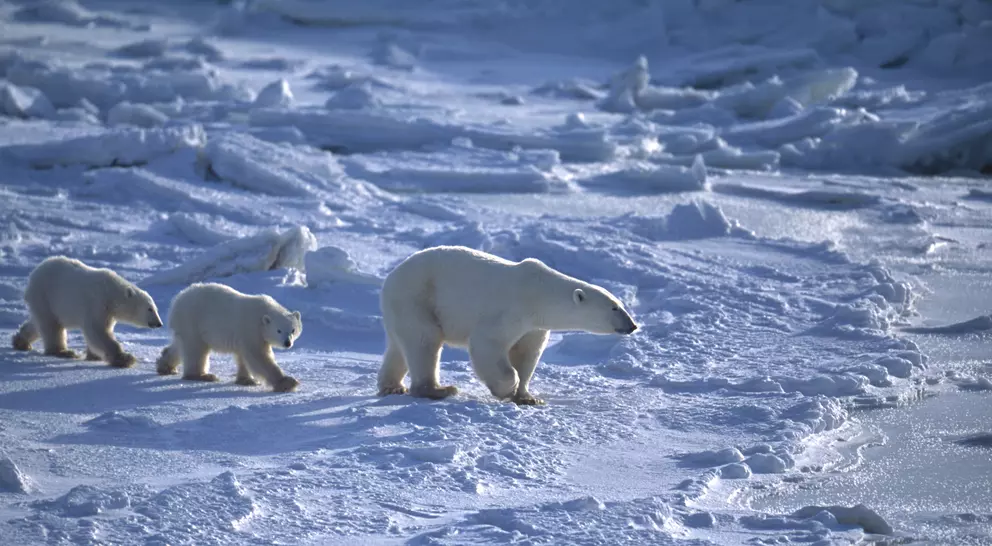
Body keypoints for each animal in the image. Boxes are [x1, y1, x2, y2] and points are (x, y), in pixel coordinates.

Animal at [11, 255, 163, 367]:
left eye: (156, 308)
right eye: (149, 309)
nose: (159, 323)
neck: (111, 293)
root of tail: (33, 274)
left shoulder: (108, 313)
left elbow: (101, 331)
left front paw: (93, 356)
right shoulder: (98, 303)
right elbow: (97, 331)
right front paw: (125, 358)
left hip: (44, 301)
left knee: (38, 323)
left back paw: (20, 341)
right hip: (45, 295)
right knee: (51, 326)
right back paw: (63, 351)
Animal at [155, 282, 302, 393]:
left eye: (293, 330)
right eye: (279, 330)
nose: (287, 343)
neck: (262, 313)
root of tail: (177, 299)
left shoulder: (246, 335)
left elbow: (243, 356)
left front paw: (246, 380)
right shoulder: (251, 328)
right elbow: (258, 356)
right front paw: (287, 382)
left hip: (185, 325)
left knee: (180, 345)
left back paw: (165, 366)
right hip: (192, 320)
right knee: (196, 349)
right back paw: (202, 375)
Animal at [376, 245, 639, 405]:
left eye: (620, 304)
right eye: (614, 308)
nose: (633, 325)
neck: (538, 293)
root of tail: (391, 278)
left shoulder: (534, 326)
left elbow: (527, 354)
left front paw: (528, 397)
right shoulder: (510, 311)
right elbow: (487, 344)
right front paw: (506, 389)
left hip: (403, 307)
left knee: (399, 346)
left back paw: (392, 387)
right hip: (418, 298)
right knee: (425, 341)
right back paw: (438, 389)